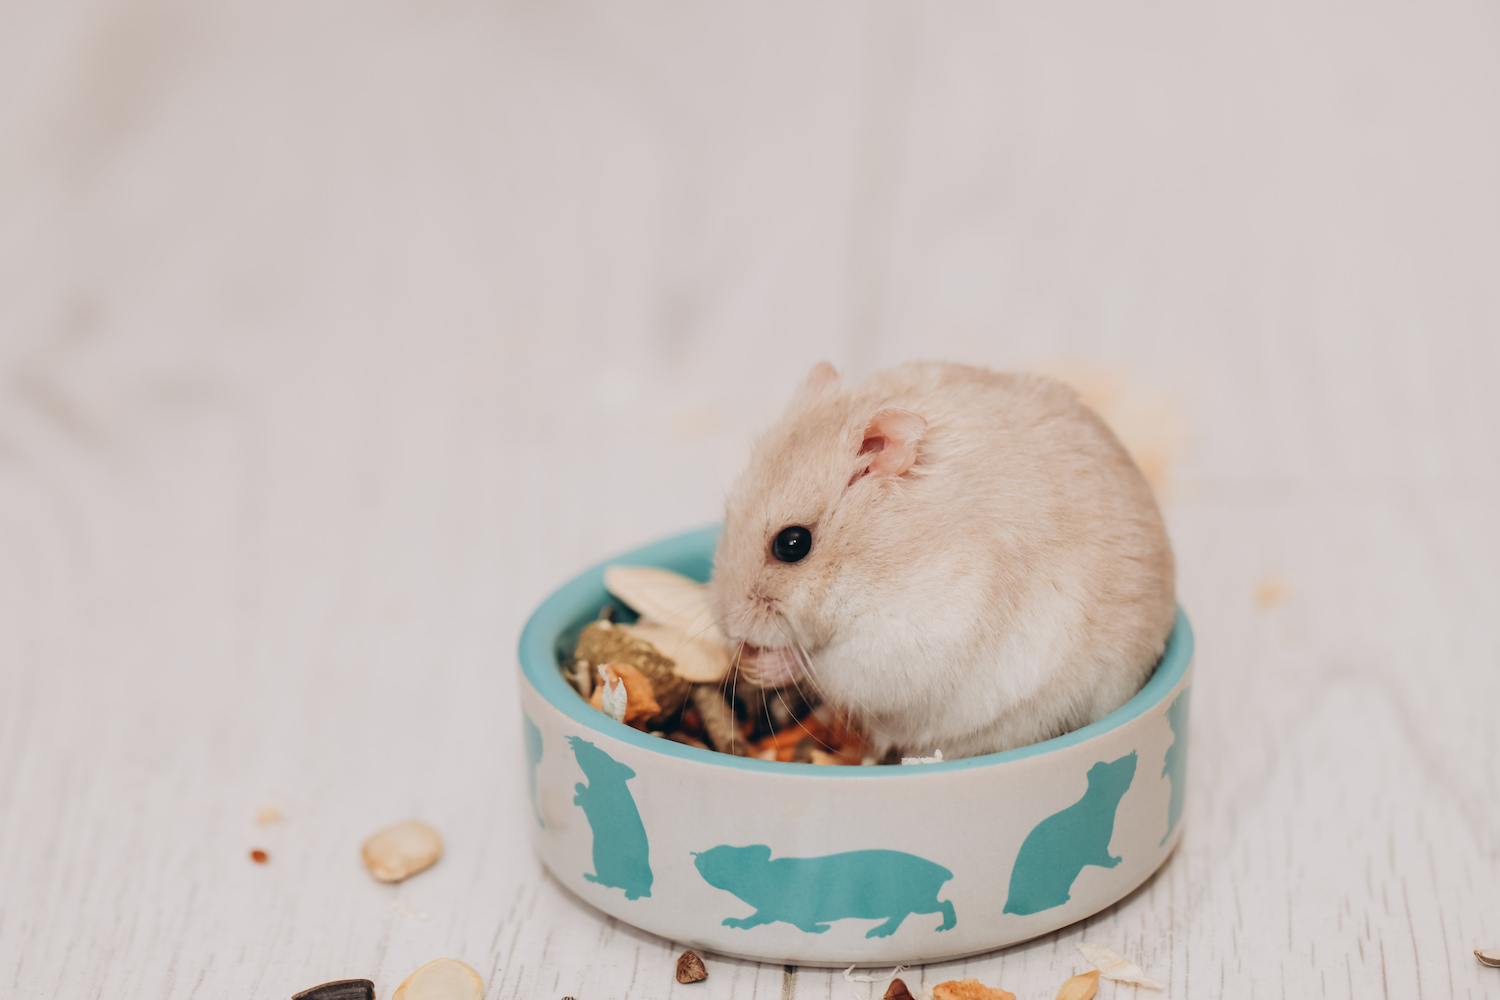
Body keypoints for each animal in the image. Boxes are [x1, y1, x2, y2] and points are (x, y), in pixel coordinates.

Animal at [706, 361, 1176, 760]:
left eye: (792, 544)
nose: (730, 632)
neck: (876, 551)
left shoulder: (909, 635)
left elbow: (822, 666)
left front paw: (760, 667)